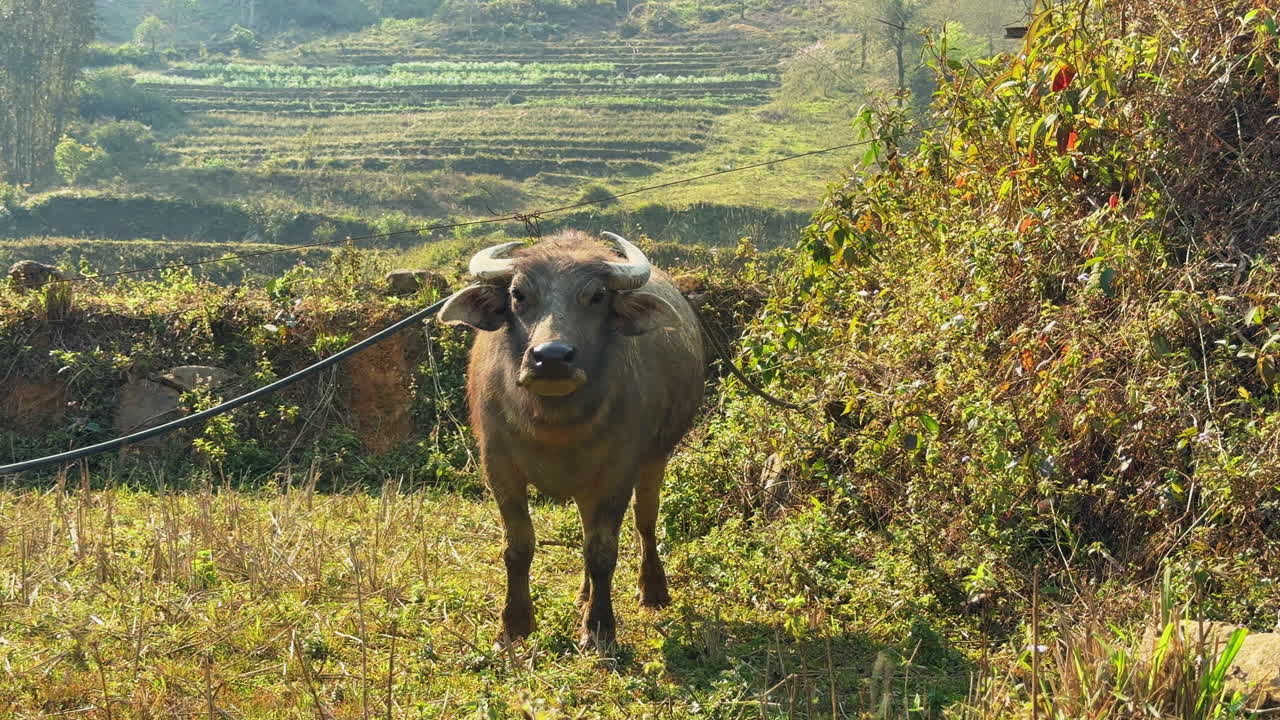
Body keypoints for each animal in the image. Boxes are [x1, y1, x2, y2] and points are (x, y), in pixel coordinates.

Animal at [438, 230, 704, 648]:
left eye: (597, 296)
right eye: (518, 294)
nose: (551, 357)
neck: (554, 424)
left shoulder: (617, 472)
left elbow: (602, 550)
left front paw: (599, 628)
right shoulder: (498, 465)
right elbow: (518, 545)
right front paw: (513, 625)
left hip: (655, 457)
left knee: (645, 519)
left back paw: (652, 589)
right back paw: (583, 594)